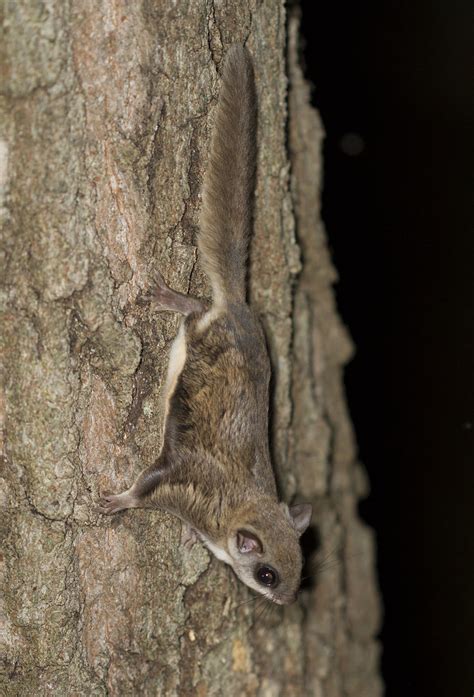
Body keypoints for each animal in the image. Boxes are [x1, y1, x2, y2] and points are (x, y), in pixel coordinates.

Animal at [98, 46, 312, 608]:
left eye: (302, 567)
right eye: (267, 574)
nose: (287, 603)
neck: (237, 508)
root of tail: (238, 307)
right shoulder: (181, 481)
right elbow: (145, 487)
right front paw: (117, 502)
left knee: (199, 305)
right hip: (200, 335)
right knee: (194, 310)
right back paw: (168, 297)